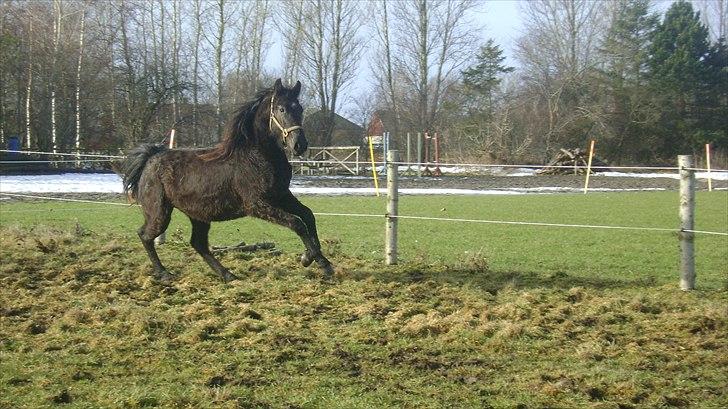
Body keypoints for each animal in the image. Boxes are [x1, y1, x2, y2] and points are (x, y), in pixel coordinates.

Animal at [118, 79, 332, 284]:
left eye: (300, 108)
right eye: (282, 109)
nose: (299, 145)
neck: (258, 156)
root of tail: (151, 157)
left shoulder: (281, 196)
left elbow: (308, 215)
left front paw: (320, 261)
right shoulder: (257, 204)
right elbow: (297, 223)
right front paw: (310, 259)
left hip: (198, 215)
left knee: (198, 243)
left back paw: (228, 275)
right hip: (159, 213)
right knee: (145, 235)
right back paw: (164, 274)